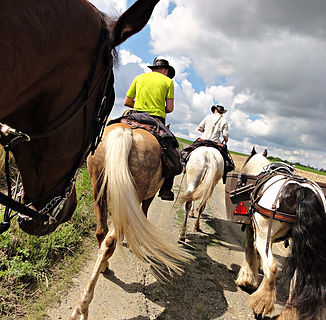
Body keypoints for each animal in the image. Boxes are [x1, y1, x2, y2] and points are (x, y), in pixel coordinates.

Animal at [70, 124, 190, 318]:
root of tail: (125, 132)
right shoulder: (147, 198)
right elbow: (143, 214)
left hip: (98, 187)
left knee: (101, 233)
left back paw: (103, 269)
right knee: (110, 240)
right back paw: (83, 306)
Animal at [234, 148, 326, 320]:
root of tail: (301, 191)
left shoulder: (253, 229)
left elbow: (250, 250)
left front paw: (247, 280)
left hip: (264, 235)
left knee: (272, 268)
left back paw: (261, 305)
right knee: (297, 280)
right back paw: (288, 314)